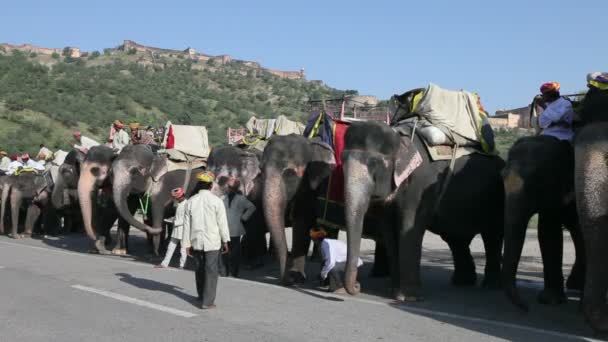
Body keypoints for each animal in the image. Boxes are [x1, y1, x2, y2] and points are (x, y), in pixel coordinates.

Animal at [262, 134, 390, 286]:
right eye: (261, 170)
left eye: (290, 174)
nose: (288, 279)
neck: (310, 142)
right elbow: (302, 220)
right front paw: (301, 278)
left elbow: (307, 224)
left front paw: (304, 278)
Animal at [342, 119, 504, 300]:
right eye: (342, 162)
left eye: (373, 164)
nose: (357, 286)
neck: (400, 138)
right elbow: (389, 230)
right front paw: (393, 291)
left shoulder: (421, 184)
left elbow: (409, 225)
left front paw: (407, 297)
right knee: (456, 239)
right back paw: (462, 282)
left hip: (497, 199)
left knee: (492, 236)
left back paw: (490, 286)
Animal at [498, 135, 584, 312]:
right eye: (501, 177)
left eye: (537, 181)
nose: (526, 308)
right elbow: (548, 233)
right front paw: (550, 301)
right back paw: (575, 284)